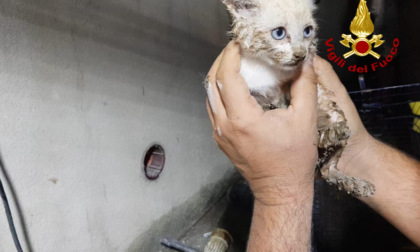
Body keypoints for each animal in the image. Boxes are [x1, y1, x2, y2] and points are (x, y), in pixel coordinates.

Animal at [218, 0, 376, 197]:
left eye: (307, 31)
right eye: (279, 33)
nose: (301, 55)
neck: (267, 71)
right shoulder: (255, 94)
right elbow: (269, 105)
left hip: (338, 117)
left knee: (328, 167)